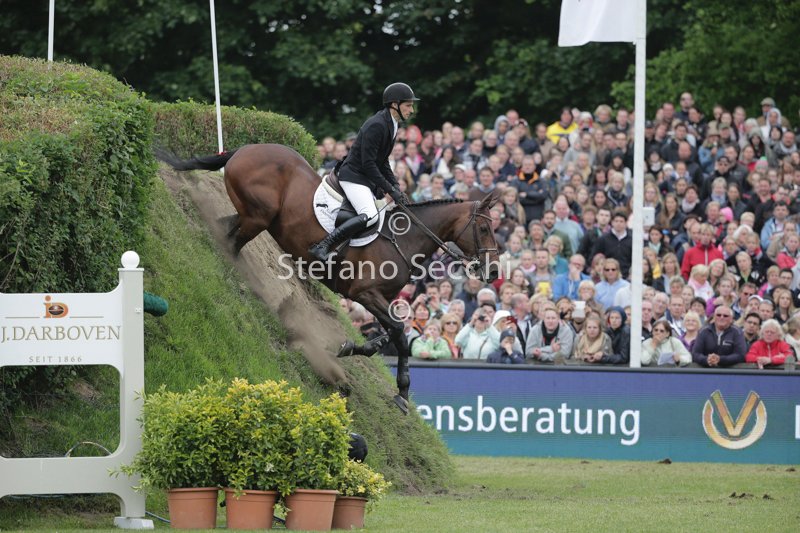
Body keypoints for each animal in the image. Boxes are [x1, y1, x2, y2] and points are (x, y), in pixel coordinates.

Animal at [160, 143, 500, 413]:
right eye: (484, 229)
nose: (495, 271)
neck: (404, 238)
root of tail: (244, 150)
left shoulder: (383, 299)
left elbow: (389, 334)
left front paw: (353, 348)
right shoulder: (365, 294)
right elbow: (400, 335)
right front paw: (402, 392)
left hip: (250, 217)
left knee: (225, 230)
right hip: (257, 217)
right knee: (231, 244)